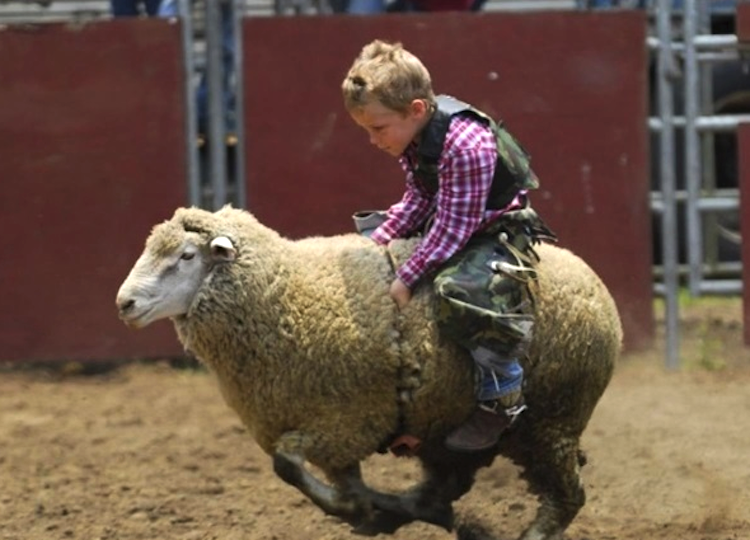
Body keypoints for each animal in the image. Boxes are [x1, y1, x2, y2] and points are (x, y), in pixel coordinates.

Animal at [116, 207, 624, 540]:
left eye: (186, 256)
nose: (125, 303)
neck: (283, 294)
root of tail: (594, 283)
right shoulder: (332, 431)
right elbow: (316, 476)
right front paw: (363, 510)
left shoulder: (345, 420)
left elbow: (287, 464)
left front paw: (356, 509)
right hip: (450, 428)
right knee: (443, 488)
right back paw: (415, 515)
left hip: (552, 418)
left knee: (565, 498)